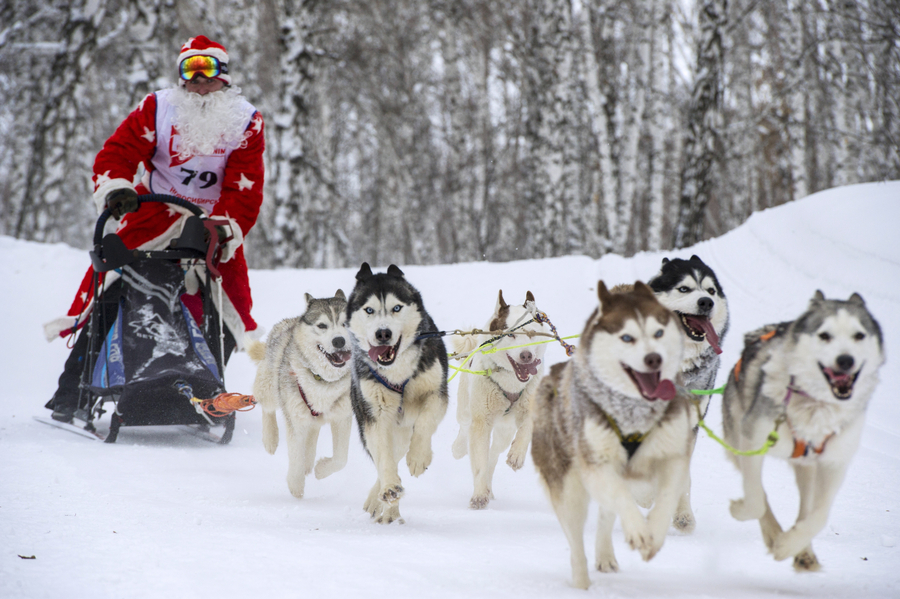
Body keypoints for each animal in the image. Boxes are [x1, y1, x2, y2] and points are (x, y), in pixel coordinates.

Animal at [251, 292, 356, 500]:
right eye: (322, 325)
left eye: (345, 323)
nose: (339, 341)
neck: (323, 381)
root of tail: (290, 321)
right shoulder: (295, 420)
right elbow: (295, 456)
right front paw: (296, 485)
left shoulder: (342, 417)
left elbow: (341, 459)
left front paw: (321, 469)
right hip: (270, 387)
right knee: (266, 406)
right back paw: (270, 439)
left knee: (313, 433)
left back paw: (309, 462)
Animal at [346, 264, 448, 524]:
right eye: (369, 310)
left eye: (397, 308)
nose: (383, 333)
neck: (398, 373)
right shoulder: (376, 415)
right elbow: (384, 458)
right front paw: (390, 488)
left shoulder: (436, 393)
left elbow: (425, 423)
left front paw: (419, 457)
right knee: (384, 460)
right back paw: (386, 500)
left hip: (402, 433)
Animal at [450, 290, 548, 510]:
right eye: (510, 334)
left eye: (532, 334)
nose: (526, 355)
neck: (510, 383)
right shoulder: (481, 422)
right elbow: (478, 462)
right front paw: (479, 495)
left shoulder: (530, 405)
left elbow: (527, 429)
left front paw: (517, 455)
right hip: (466, 411)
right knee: (465, 431)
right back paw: (459, 448)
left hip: (504, 431)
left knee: (493, 455)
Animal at [536, 282, 696, 592]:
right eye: (627, 337)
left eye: (658, 333)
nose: (654, 358)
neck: (633, 413)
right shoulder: (597, 464)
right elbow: (620, 497)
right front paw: (639, 531)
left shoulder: (672, 456)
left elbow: (667, 497)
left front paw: (653, 534)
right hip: (569, 489)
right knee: (576, 540)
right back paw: (582, 583)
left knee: (605, 516)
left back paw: (605, 556)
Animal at [720, 290, 884, 572]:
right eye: (825, 335)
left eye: (859, 335)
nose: (846, 360)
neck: (816, 407)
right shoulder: (752, 441)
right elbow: (755, 501)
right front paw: (741, 512)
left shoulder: (834, 463)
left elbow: (818, 516)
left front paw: (788, 546)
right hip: (737, 442)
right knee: (760, 494)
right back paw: (773, 534)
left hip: (808, 469)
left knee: (805, 508)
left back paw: (802, 552)